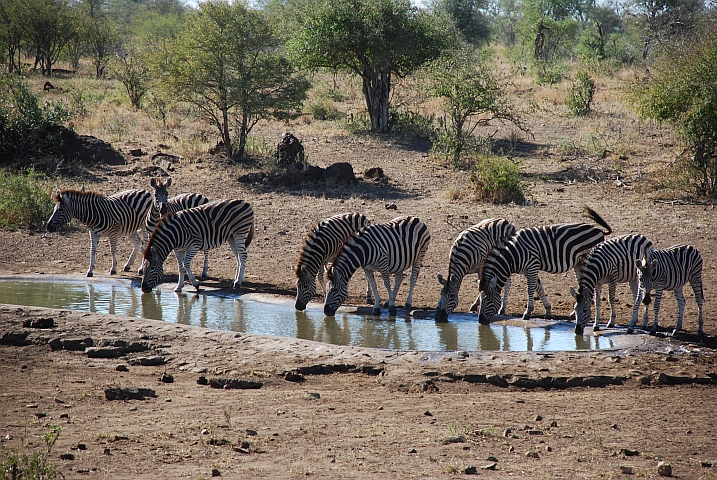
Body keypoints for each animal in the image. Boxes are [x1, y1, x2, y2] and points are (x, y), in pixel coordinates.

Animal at [477, 206, 612, 326]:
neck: (514, 254)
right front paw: (547, 310)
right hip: (579, 263)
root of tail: (599, 230)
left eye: (487, 300)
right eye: (481, 299)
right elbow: (539, 288)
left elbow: (530, 289)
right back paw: (574, 313)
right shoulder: (529, 269)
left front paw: (527, 312)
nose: (480, 321)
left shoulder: (532, 265)